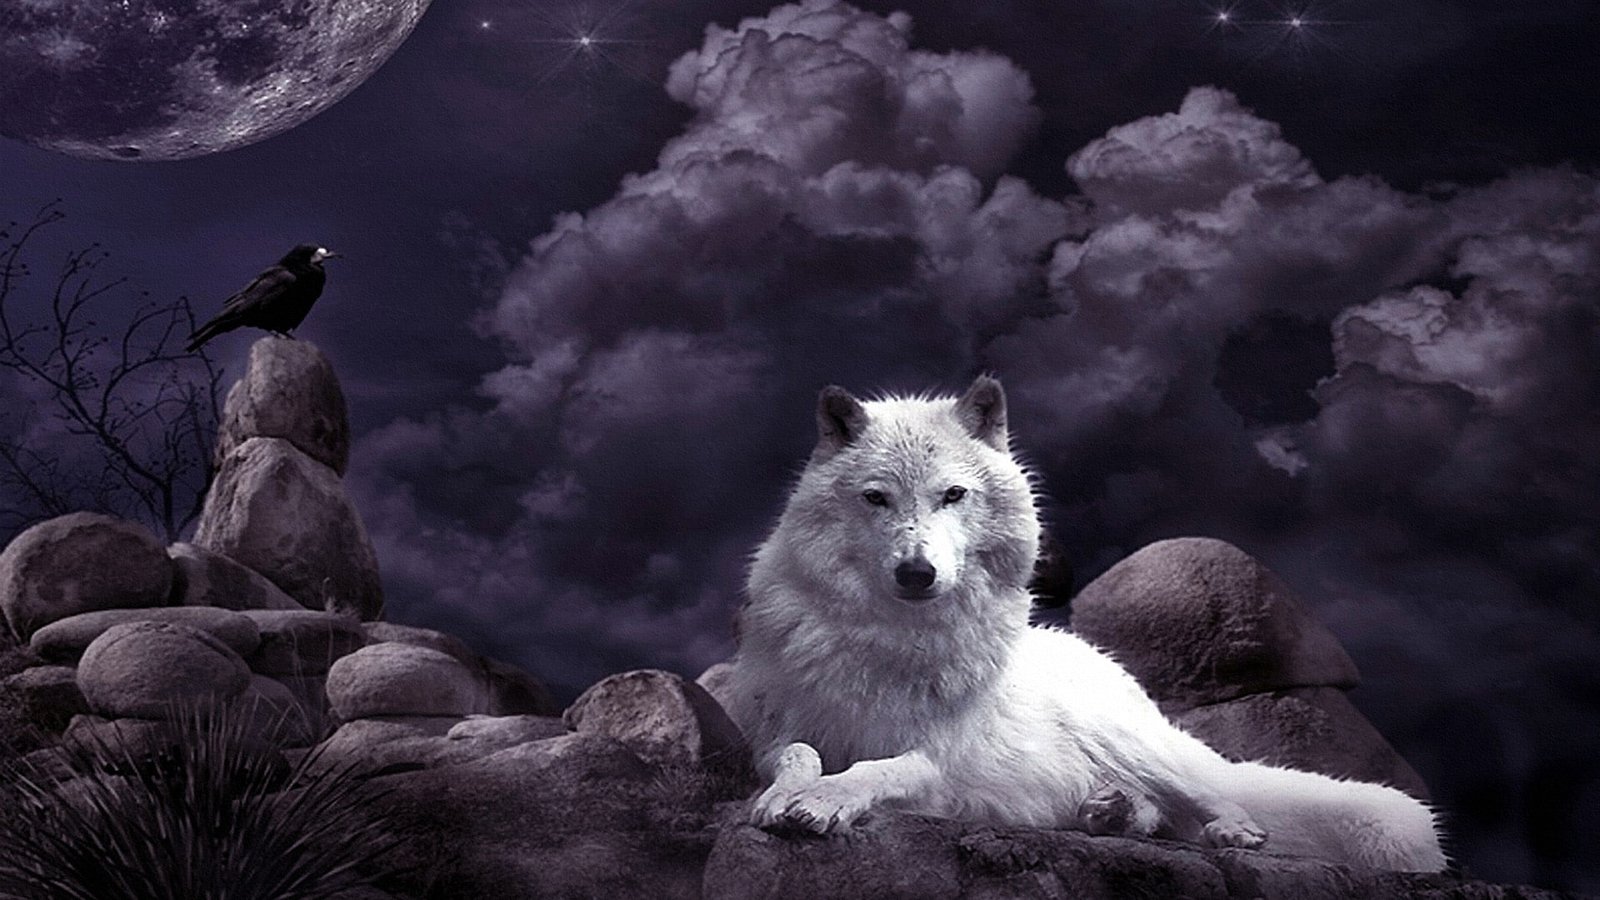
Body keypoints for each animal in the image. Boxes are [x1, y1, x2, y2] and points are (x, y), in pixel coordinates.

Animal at [718, 375, 1446, 871]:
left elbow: (880, 769)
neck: (889, 640)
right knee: (1159, 815)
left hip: (1129, 738)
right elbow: (800, 755)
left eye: (953, 494)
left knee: (1205, 795)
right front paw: (787, 795)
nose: (917, 573)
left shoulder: (941, 761)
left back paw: (1227, 829)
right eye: (877, 498)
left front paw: (825, 801)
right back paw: (1108, 811)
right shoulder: (773, 730)